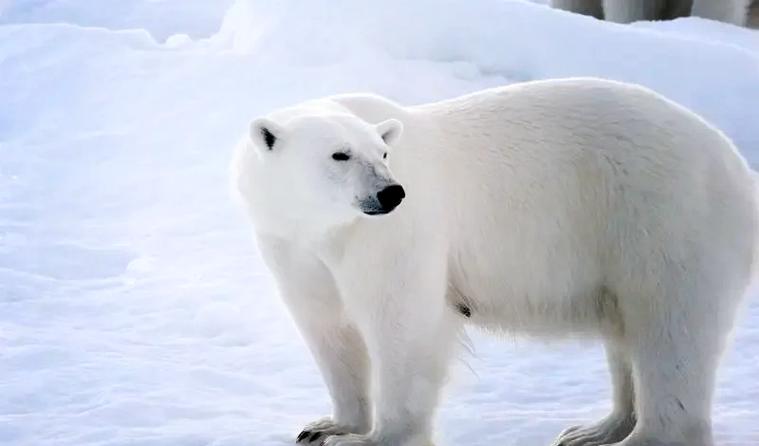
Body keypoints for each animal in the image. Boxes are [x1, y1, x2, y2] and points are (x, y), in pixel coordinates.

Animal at [232, 78, 758, 446]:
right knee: (628, 332)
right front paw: (328, 425)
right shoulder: (294, 246)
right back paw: (595, 429)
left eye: (382, 153)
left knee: (670, 333)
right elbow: (328, 329)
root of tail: (737, 168)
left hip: (666, 221)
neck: (328, 227)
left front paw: (373, 438)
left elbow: (402, 323)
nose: (392, 192)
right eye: (340, 155)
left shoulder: (395, 237)